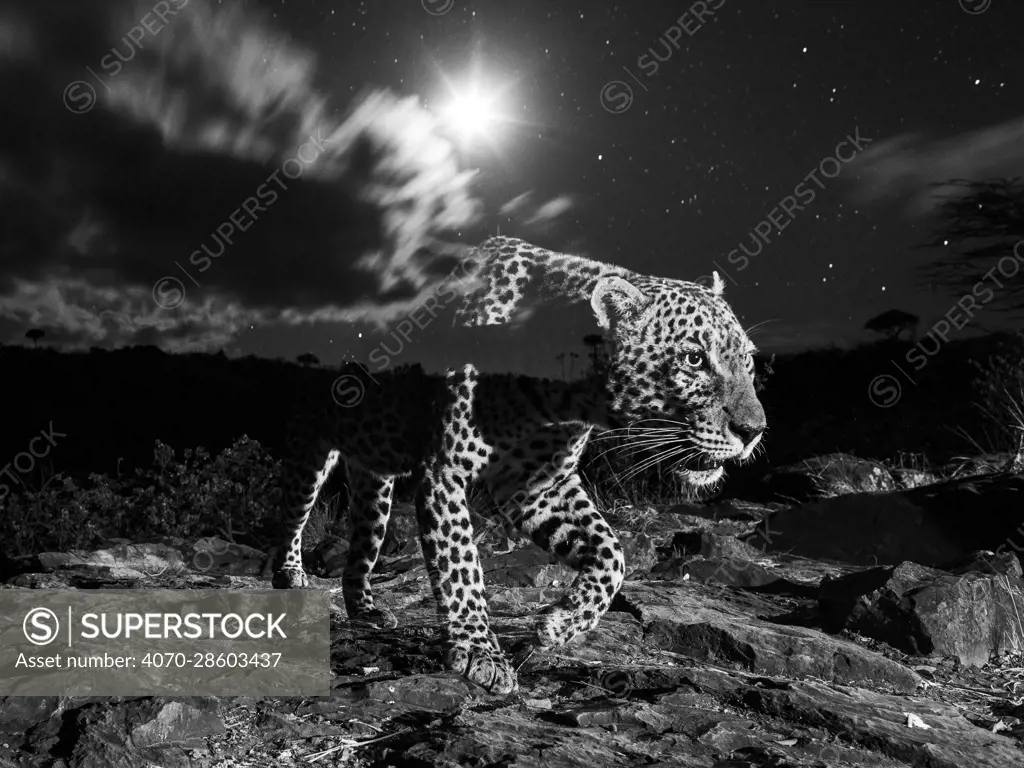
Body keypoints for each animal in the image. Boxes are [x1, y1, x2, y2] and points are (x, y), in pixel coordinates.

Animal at [272, 236, 770, 696]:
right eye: (693, 359)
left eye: (747, 359)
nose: (755, 430)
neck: (567, 396)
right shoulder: (445, 472)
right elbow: (461, 564)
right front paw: (479, 652)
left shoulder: (536, 484)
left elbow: (612, 553)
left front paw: (560, 624)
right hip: (309, 449)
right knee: (292, 515)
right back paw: (290, 577)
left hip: (374, 478)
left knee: (364, 541)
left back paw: (367, 611)